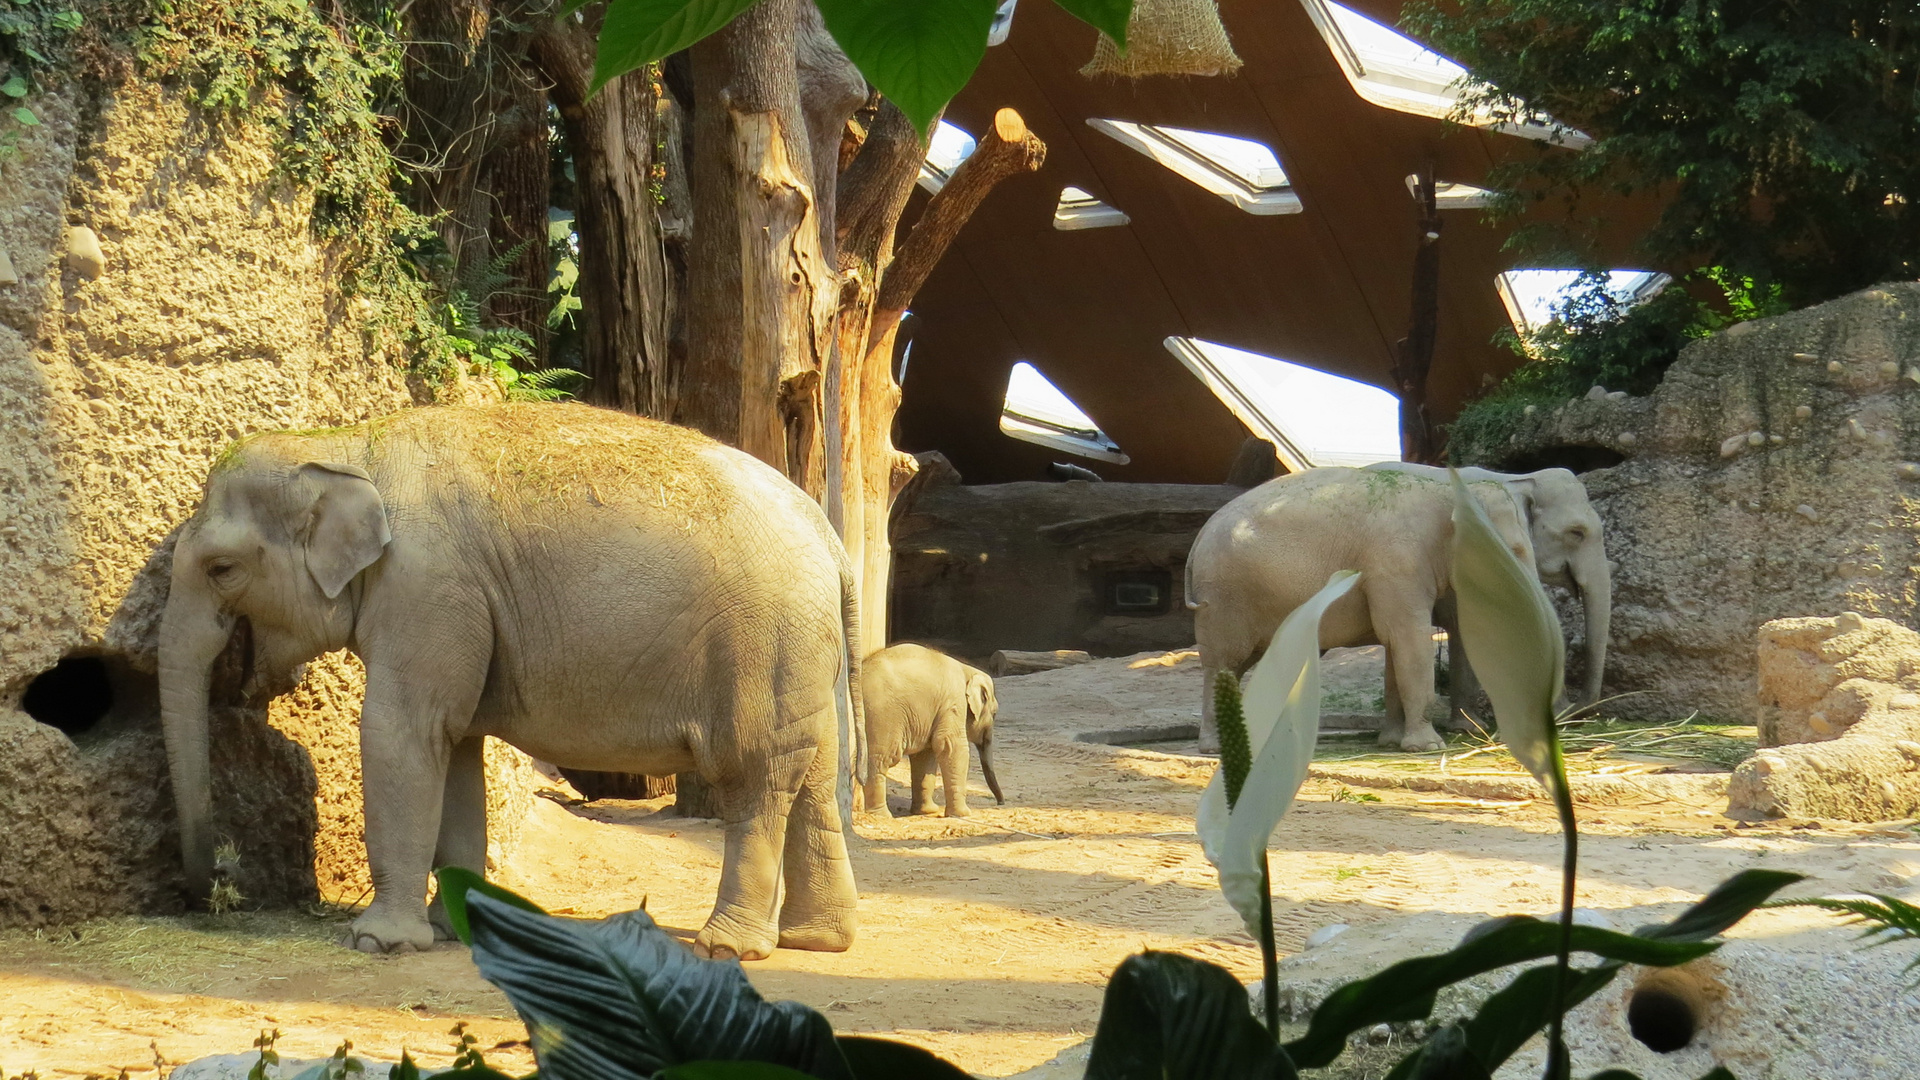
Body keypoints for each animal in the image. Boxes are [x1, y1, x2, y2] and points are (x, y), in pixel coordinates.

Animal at [157, 399, 864, 953]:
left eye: (222, 569)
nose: (215, 892)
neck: (344, 443)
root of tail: (831, 539)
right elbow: (456, 746)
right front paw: (453, 927)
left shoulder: (428, 588)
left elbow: (404, 732)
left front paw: (379, 942)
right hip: (806, 656)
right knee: (814, 776)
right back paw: (816, 940)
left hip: (763, 645)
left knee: (756, 776)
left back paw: (730, 948)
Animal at [860, 638, 1006, 814]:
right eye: (995, 714)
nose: (1000, 803)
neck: (967, 669)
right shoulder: (953, 703)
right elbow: (952, 747)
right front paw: (963, 814)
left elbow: (925, 755)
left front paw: (928, 811)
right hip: (881, 717)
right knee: (879, 760)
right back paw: (881, 815)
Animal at [1182, 466, 1528, 753]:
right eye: (1515, 551)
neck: (1445, 491)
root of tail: (1198, 539)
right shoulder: (1396, 563)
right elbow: (1408, 638)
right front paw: (1429, 748)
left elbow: (1394, 644)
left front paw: (1390, 742)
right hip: (1224, 598)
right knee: (1224, 662)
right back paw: (1217, 748)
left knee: (1240, 664)